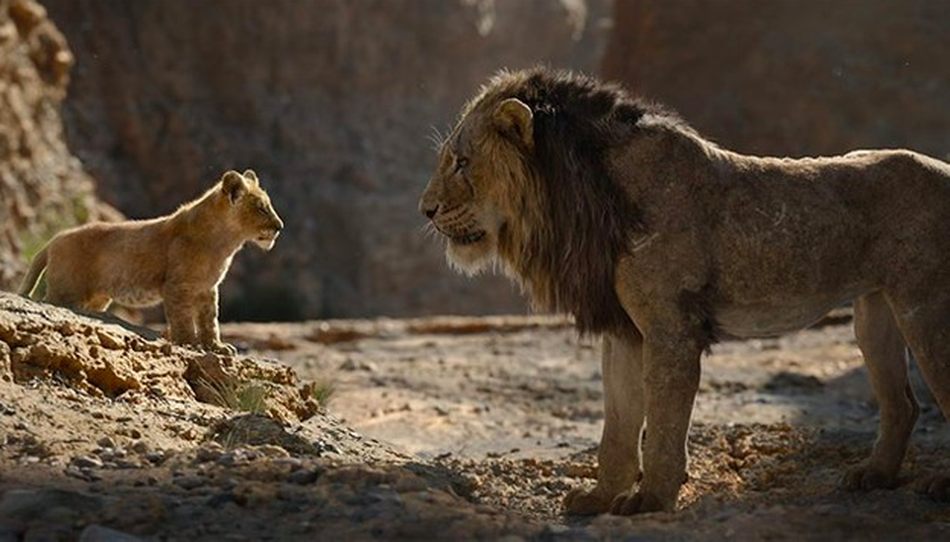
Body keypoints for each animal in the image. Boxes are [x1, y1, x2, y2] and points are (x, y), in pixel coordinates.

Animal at [19, 169, 284, 355]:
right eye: (262, 208)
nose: (280, 227)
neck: (225, 242)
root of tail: (53, 240)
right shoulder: (177, 286)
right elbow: (183, 318)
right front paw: (189, 343)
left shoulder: (207, 288)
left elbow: (210, 320)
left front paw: (216, 347)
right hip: (66, 292)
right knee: (50, 301)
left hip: (96, 298)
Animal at [419, 68, 950, 514]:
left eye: (462, 163)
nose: (426, 209)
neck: (583, 197)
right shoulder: (625, 330)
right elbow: (618, 423)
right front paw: (599, 498)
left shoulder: (670, 328)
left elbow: (662, 422)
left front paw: (650, 499)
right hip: (875, 313)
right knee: (903, 404)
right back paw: (873, 476)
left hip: (924, 308)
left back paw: (934, 486)